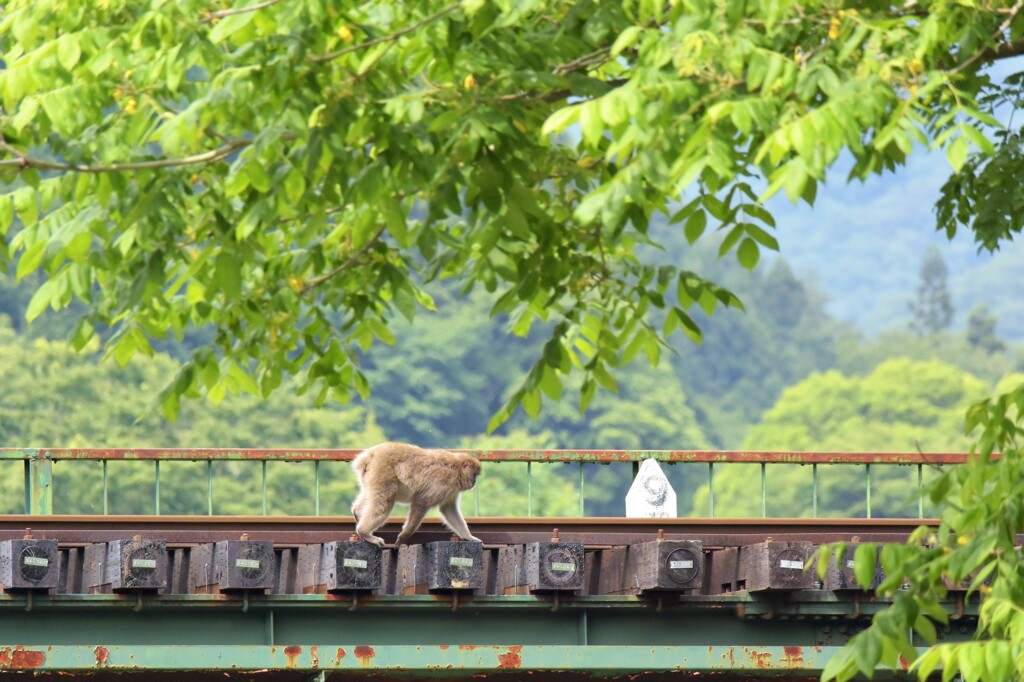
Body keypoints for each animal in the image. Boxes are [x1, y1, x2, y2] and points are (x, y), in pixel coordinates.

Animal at [350, 440, 481, 548]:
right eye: (475, 475)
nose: (474, 483)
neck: (457, 469)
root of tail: (370, 455)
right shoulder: (445, 482)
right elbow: (422, 502)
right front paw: (403, 536)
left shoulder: (452, 489)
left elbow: (447, 508)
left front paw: (468, 537)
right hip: (382, 471)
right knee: (384, 502)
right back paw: (364, 532)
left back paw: (357, 513)